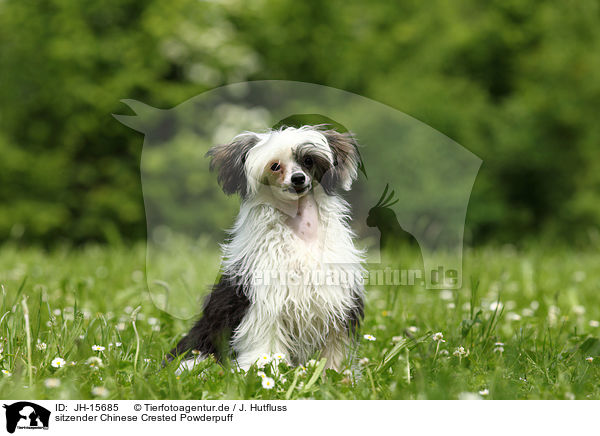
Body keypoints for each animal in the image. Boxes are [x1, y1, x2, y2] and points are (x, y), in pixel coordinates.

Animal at [169, 125, 366, 372]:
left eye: (308, 160)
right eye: (275, 166)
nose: (298, 178)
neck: (300, 233)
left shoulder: (336, 302)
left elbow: (334, 347)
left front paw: (334, 372)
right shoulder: (265, 303)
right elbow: (266, 345)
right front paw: (266, 369)